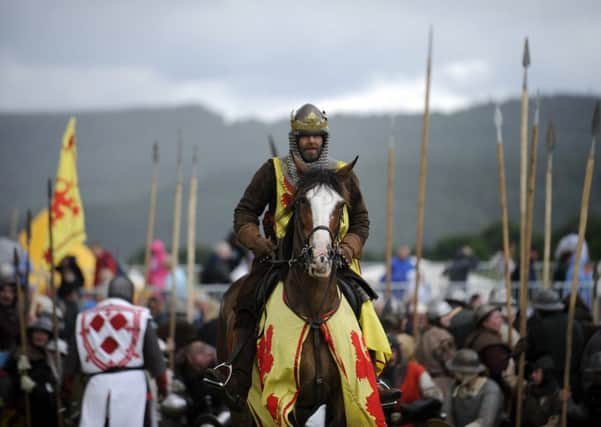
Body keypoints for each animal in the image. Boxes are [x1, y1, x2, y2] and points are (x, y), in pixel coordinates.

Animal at [217, 158, 358, 427]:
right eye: (302, 201)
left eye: (341, 205)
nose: (320, 257)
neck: (314, 313)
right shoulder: (283, 399)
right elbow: (245, 211)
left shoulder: (341, 401)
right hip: (240, 407)